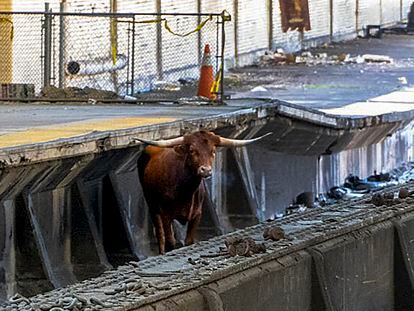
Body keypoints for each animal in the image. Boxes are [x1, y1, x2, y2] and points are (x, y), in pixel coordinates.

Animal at [137, 130, 272, 255]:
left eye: (213, 151)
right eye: (192, 150)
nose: (206, 170)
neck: (184, 191)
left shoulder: (197, 214)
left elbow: (189, 241)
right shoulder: (166, 215)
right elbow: (170, 241)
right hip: (152, 206)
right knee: (160, 235)